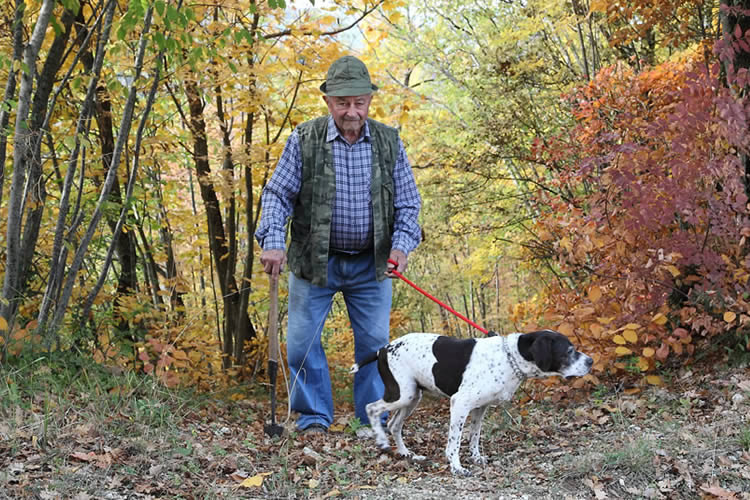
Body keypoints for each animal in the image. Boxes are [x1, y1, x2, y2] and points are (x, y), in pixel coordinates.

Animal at [352, 330, 592, 474]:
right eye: (569, 350)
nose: (591, 361)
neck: (509, 357)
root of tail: (382, 349)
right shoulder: (460, 404)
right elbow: (454, 442)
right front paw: (456, 467)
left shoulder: (480, 408)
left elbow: (474, 436)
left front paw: (476, 458)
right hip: (401, 394)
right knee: (371, 408)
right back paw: (382, 441)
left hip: (411, 397)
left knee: (394, 425)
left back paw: (407, 453)